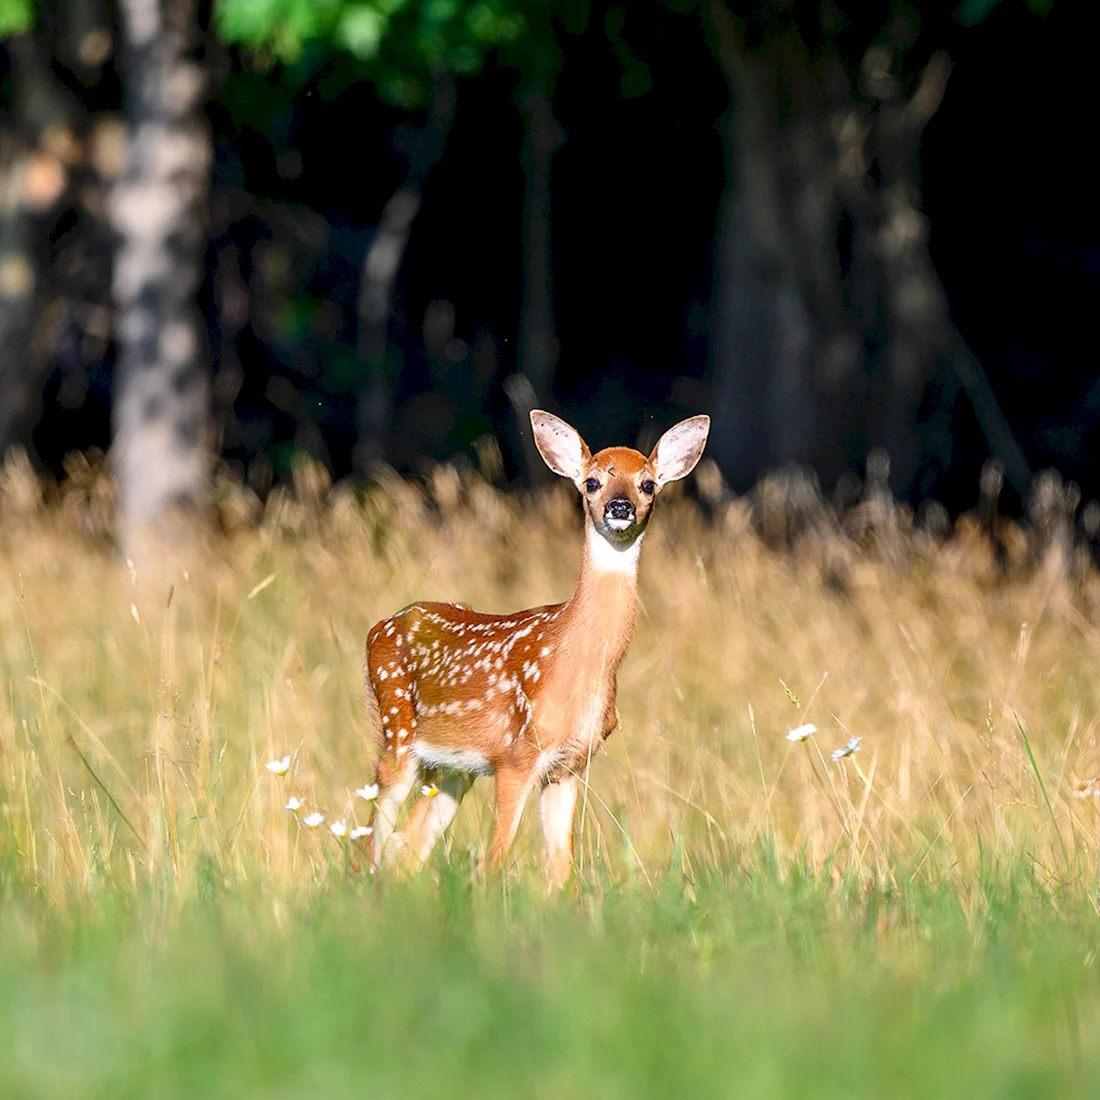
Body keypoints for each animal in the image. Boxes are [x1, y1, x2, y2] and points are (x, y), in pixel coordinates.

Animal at [363, 410, 710, 886]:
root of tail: (378, 628)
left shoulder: (570, 765)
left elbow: (561, 869)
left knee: (408, 844)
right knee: (372, 840)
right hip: (397, 732)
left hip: (452, 769)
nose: (620, 508)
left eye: (648, 485)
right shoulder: (516, 755)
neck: (576, 661)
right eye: (592, 482)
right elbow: (495, 860)